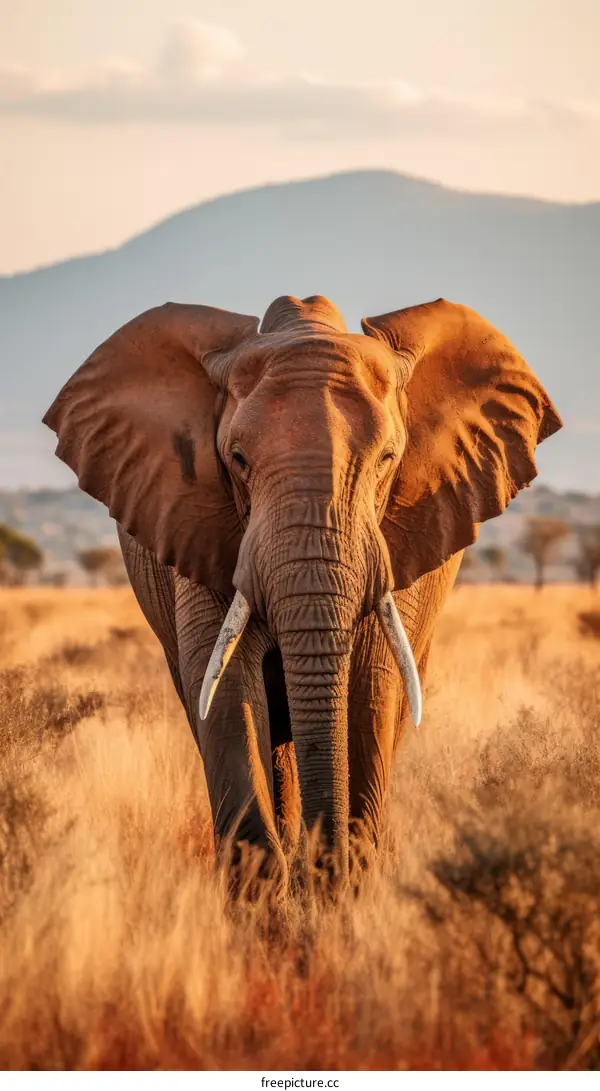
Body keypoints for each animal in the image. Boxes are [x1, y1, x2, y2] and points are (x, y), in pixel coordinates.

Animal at [43, 293, 562, 895]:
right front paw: (273, 903)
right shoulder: (199, 522)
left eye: (388, 459)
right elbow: (225, 690)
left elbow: (372, 685)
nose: (321, 868)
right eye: (238, 460)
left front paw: (342, 894)